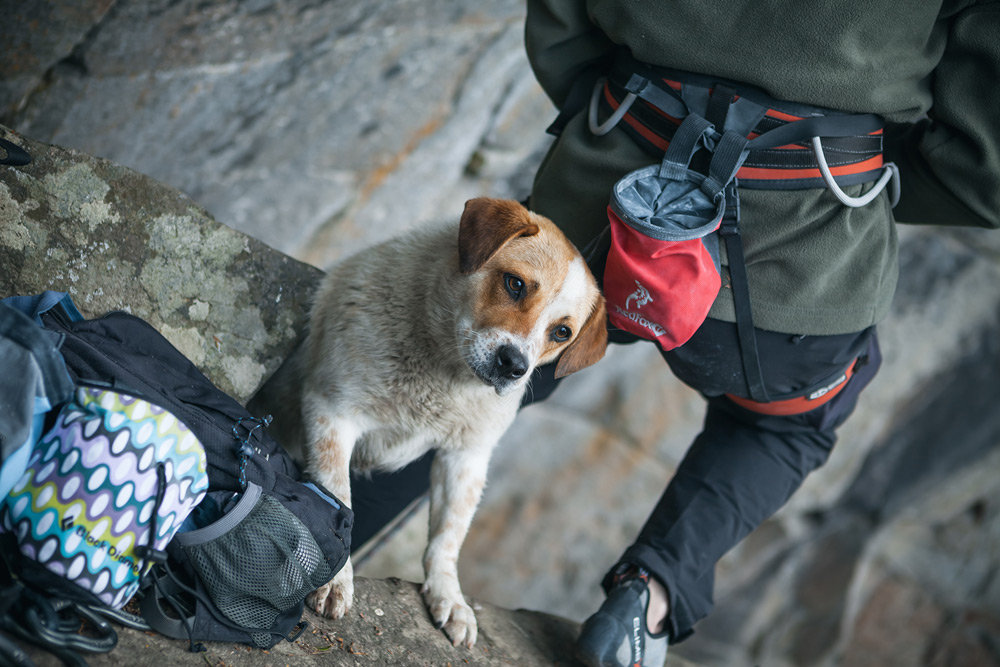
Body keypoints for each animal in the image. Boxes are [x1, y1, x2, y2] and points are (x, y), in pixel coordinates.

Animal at [300, 197, 604, 648]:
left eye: (562, 332)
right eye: (515, 284)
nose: (514, 366)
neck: (442, 373)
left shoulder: (466, 458)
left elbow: (449, 535)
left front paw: (449, 595)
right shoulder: (332, 411)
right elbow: (337, 498)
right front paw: (336, 579)